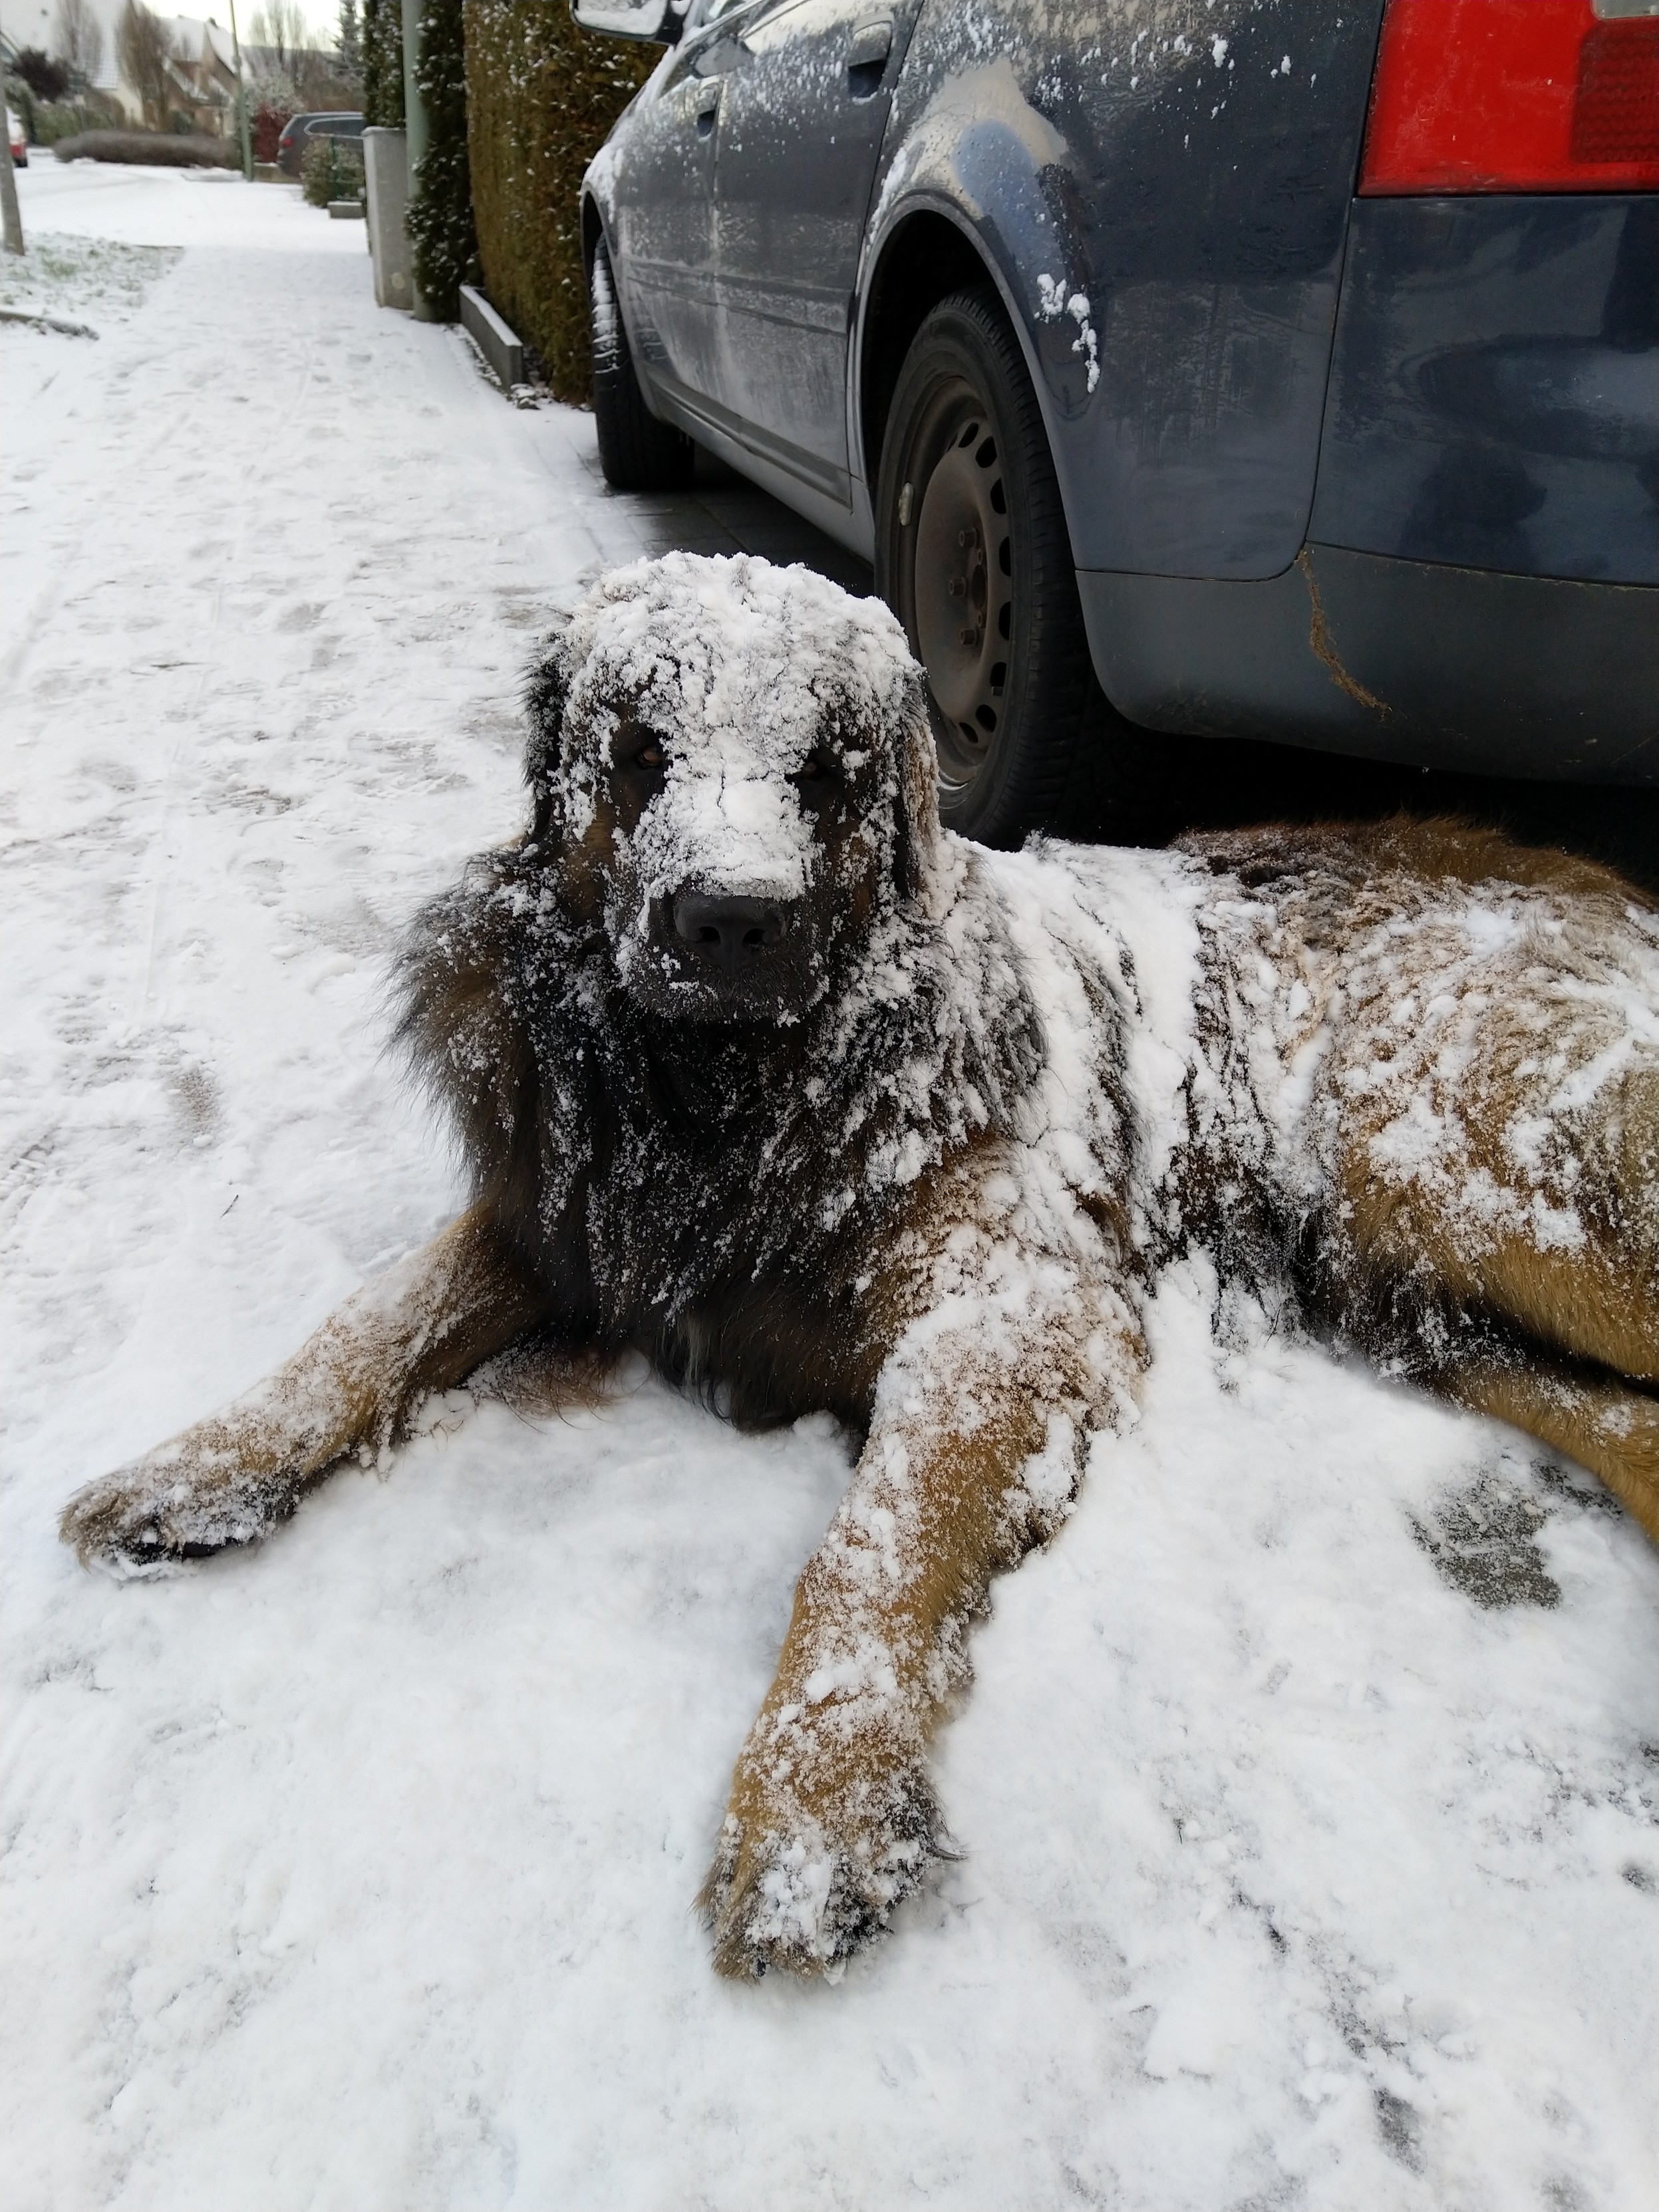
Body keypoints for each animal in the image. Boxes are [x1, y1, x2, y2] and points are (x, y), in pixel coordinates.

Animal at [61, 552, 1659, 1979]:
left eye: (824, 767)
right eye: (640, 752)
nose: (730, 921)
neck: (727, 1104)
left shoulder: (1001, 1308)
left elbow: (867, 1551)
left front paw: (809, 1810)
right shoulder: (557, 1222)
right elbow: (363, 1327)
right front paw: (192, 1466)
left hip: (1435, 1144)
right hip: (1403, 1274)